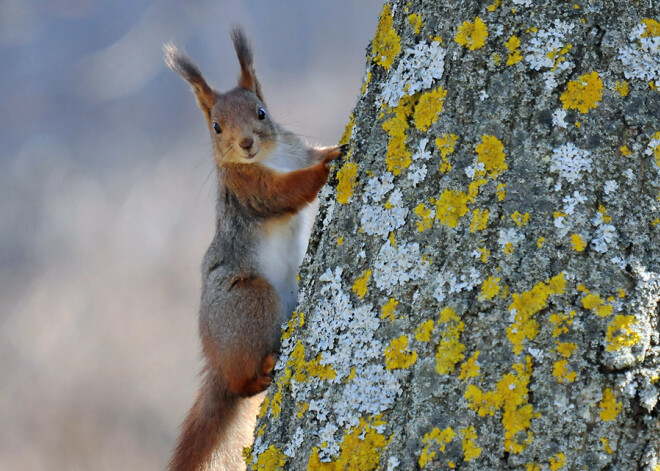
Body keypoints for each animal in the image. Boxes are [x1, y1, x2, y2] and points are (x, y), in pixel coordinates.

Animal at [164, 28, 346, 471]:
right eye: (215, 127)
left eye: (262, 112)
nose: (245, 143)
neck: (273, 156)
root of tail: (216, 361)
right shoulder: (249, 191)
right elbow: (287, 192)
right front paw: (328, 164)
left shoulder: (296, 148)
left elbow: (307, 157)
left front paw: (331, 147)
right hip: (250, 302)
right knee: (242, 383)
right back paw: (261, 371)